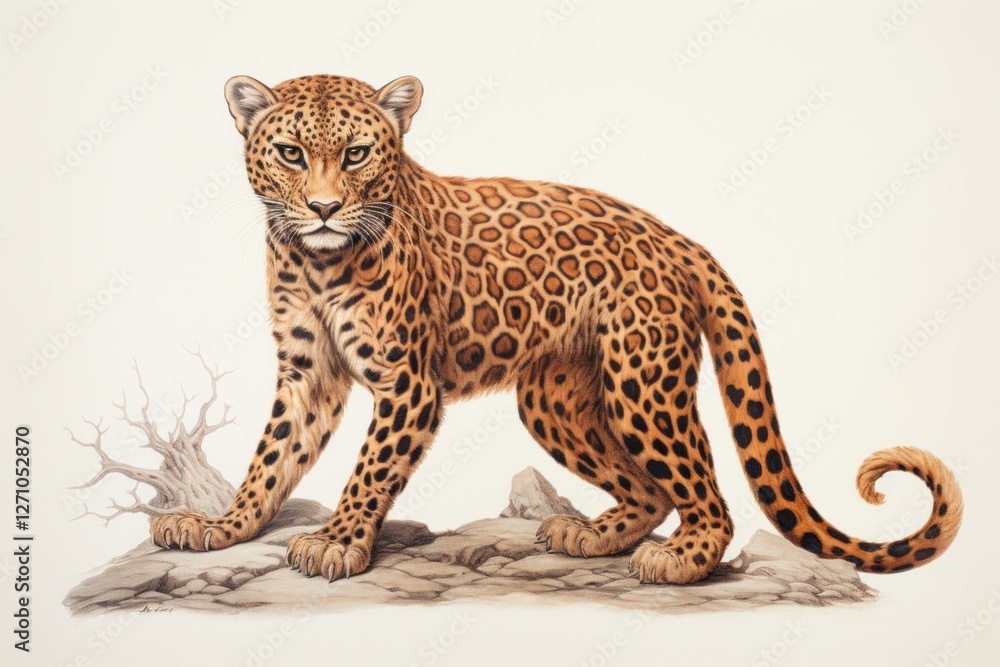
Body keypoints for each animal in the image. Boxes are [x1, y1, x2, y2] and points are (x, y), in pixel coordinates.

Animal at [151, 72, 963, 584]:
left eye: (356, 154)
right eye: (290, 153)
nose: (322, 208)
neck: (317, 261)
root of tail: (681, 240)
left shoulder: (408, 384)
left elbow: (370, 468)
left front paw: (340, 541)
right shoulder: (308, 374)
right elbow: (271, 458)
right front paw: (223, 525)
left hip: (644, 383)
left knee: (704, 488)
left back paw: (681, 558)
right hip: (557, 399)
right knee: (651, 488)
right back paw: (592, 534)